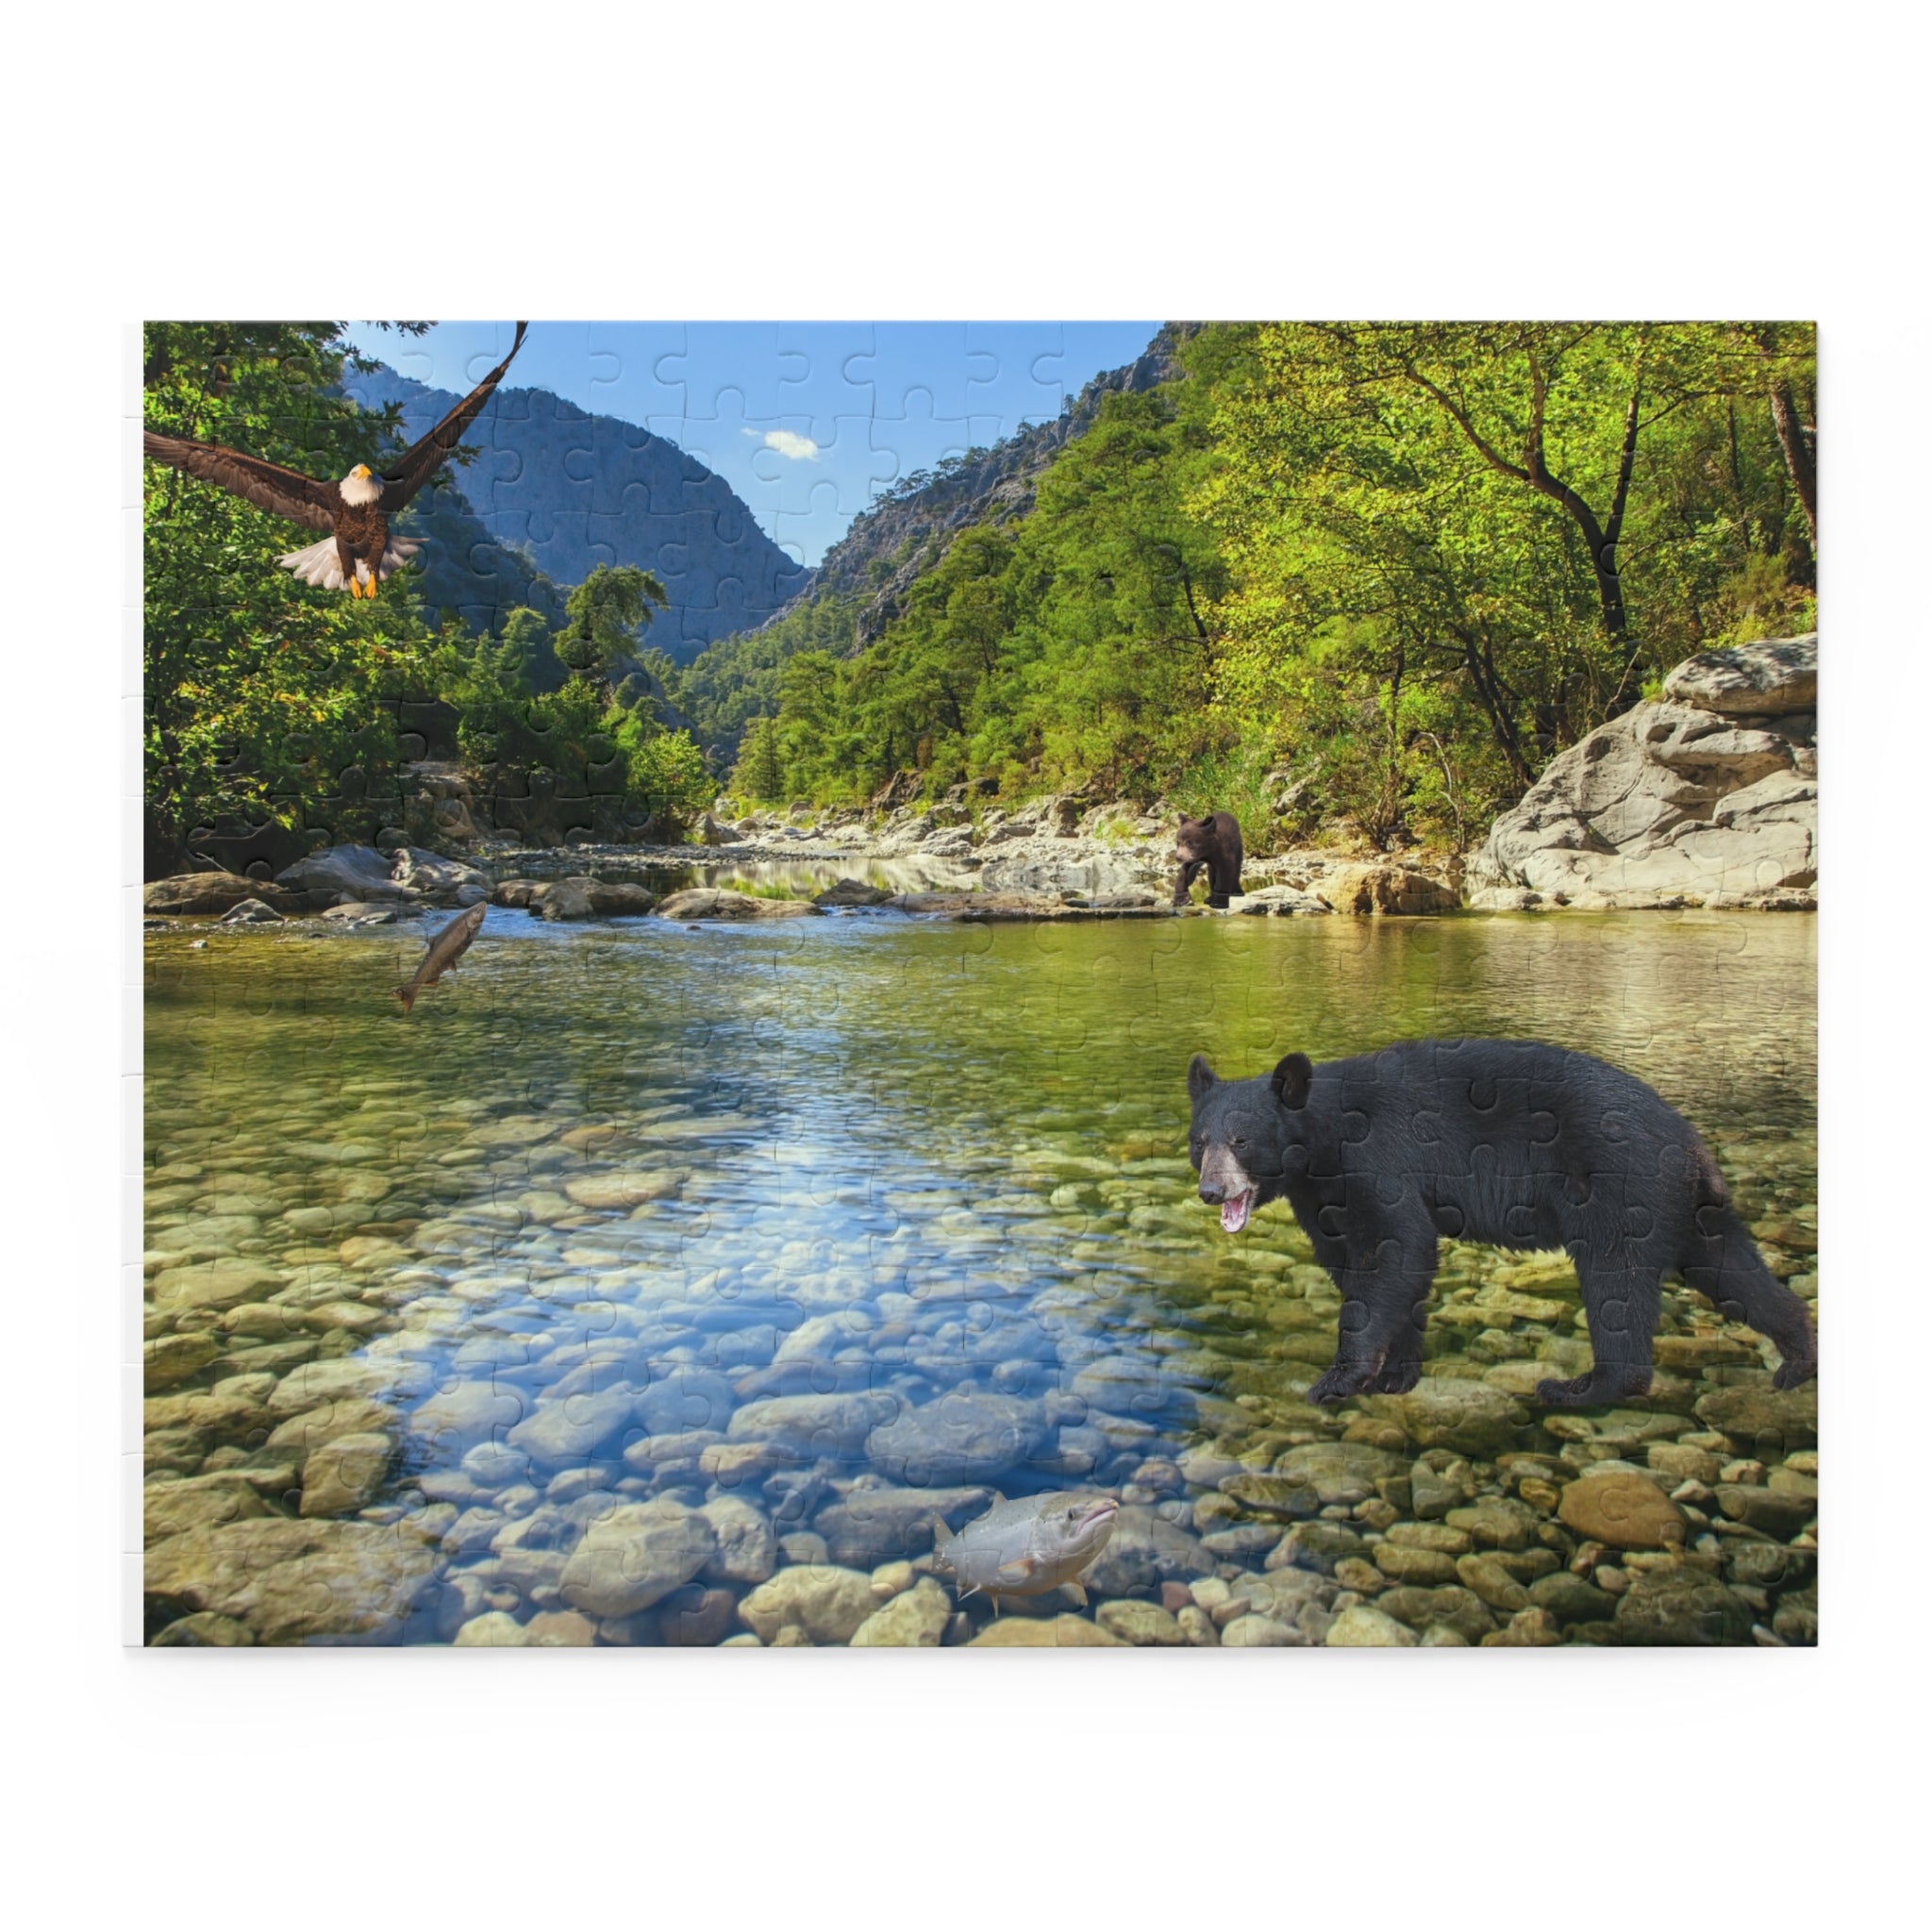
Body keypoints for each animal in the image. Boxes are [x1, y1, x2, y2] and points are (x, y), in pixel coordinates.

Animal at [1185, 1037, 1816, 1409]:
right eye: (1200, 1141)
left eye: (1241, 1141)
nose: (1212, 1191)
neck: (1322, 1139)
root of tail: (1693, 1144)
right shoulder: (1323, 1196)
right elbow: (1372, 1264)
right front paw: (1397, 1374)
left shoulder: (1378, 1160)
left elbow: (1399, 1247)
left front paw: (1338, 1380)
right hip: (1689, 1213)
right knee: (1734, 1274)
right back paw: (1798, 1358)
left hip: (1621, 1195)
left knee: (1616, 1288)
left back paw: (1580, 1390)